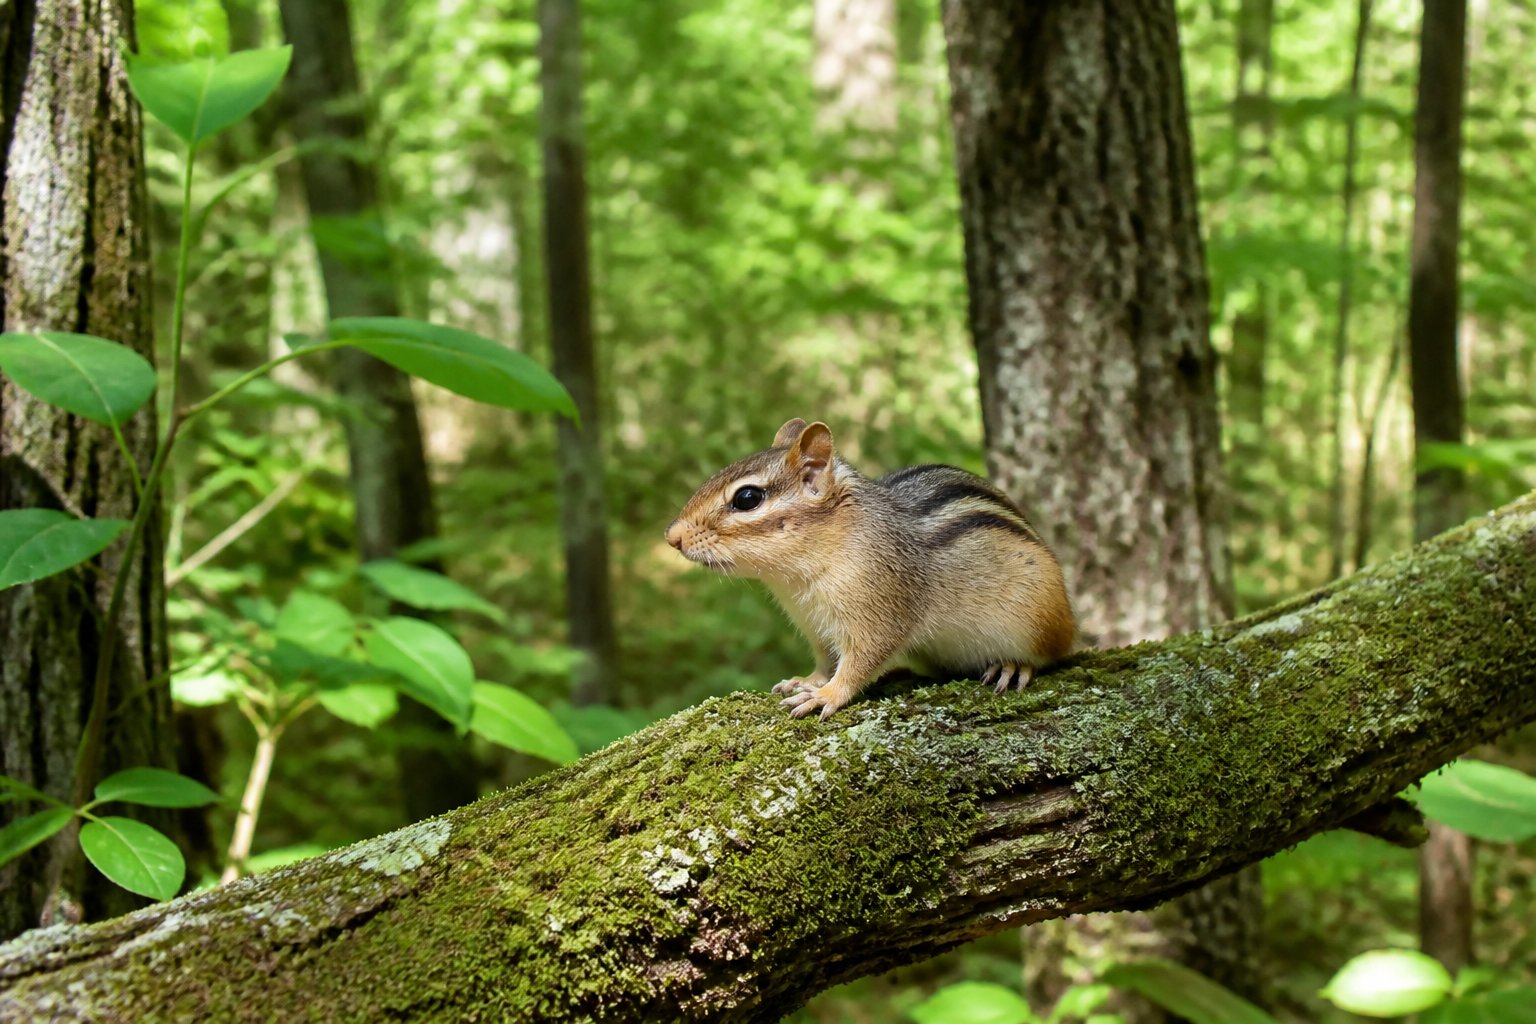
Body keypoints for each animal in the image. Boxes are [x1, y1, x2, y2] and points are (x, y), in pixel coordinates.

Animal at [665, 418, 1077, 720]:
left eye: (747, 498)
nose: (672, 537)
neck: (797, 579)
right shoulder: (815, 625)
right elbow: (826, 660)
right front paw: (807, 681)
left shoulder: (880, 611)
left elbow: (859, 662)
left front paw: (827, 694)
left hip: (1042, 621)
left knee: (1052, 654)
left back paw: (1014, 665)